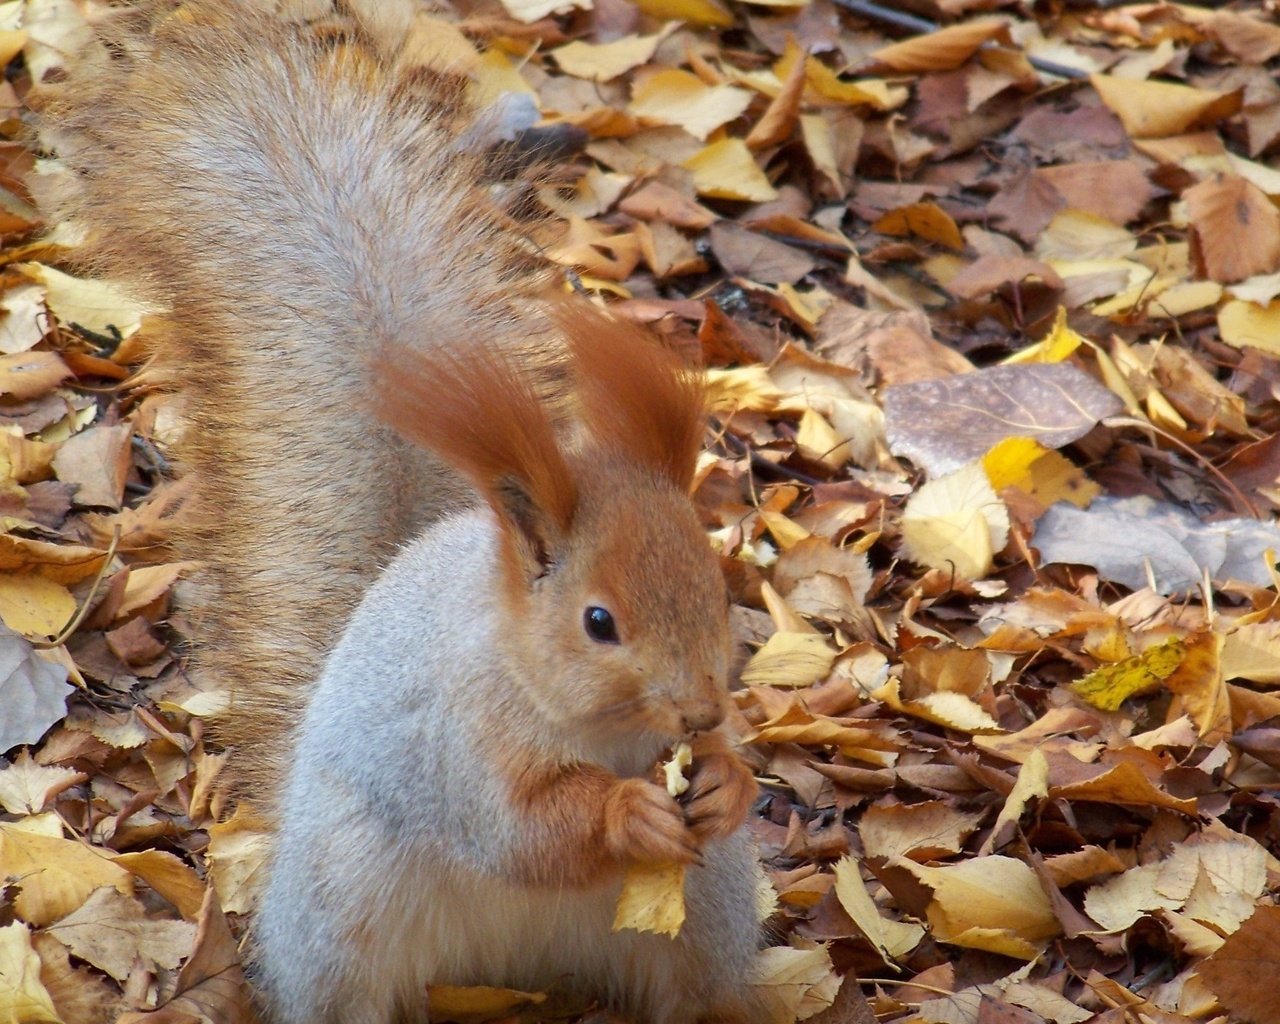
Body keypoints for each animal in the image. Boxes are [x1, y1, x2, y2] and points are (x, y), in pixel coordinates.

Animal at [37, 2, 757, 1024]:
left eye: (718, 585)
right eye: (598, 622)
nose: (698, 712)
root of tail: (515, 969)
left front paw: (726, 780)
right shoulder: (456, 741)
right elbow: (521, 831)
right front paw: (628, 812)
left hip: (710, 915)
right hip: (345, 910)